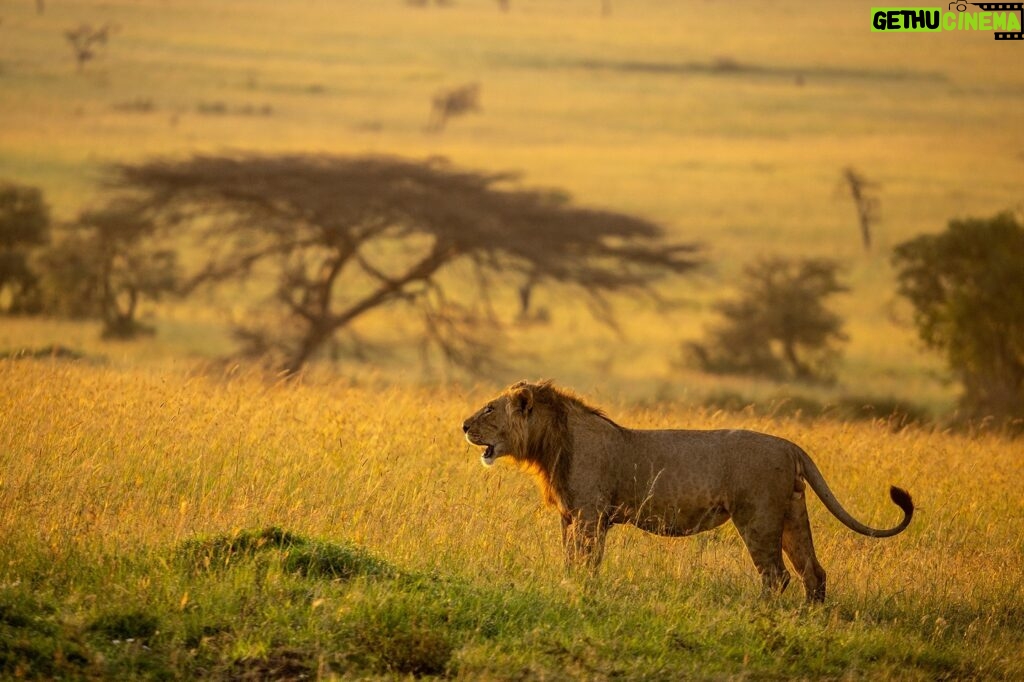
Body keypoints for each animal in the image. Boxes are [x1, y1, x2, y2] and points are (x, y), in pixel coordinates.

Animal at [462, 376, 913, 602]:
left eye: (489, 408)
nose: (464, 425)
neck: (550, 443)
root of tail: (789, 444)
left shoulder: (590, 515)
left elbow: (586, 560)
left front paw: (582, 592)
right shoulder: (571, 515)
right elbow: (571, 560)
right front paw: (569, 586)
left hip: (758, 517)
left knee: (776, 576)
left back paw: (762, 618)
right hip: (792, 515)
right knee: (813, 573)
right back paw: (809, 622)